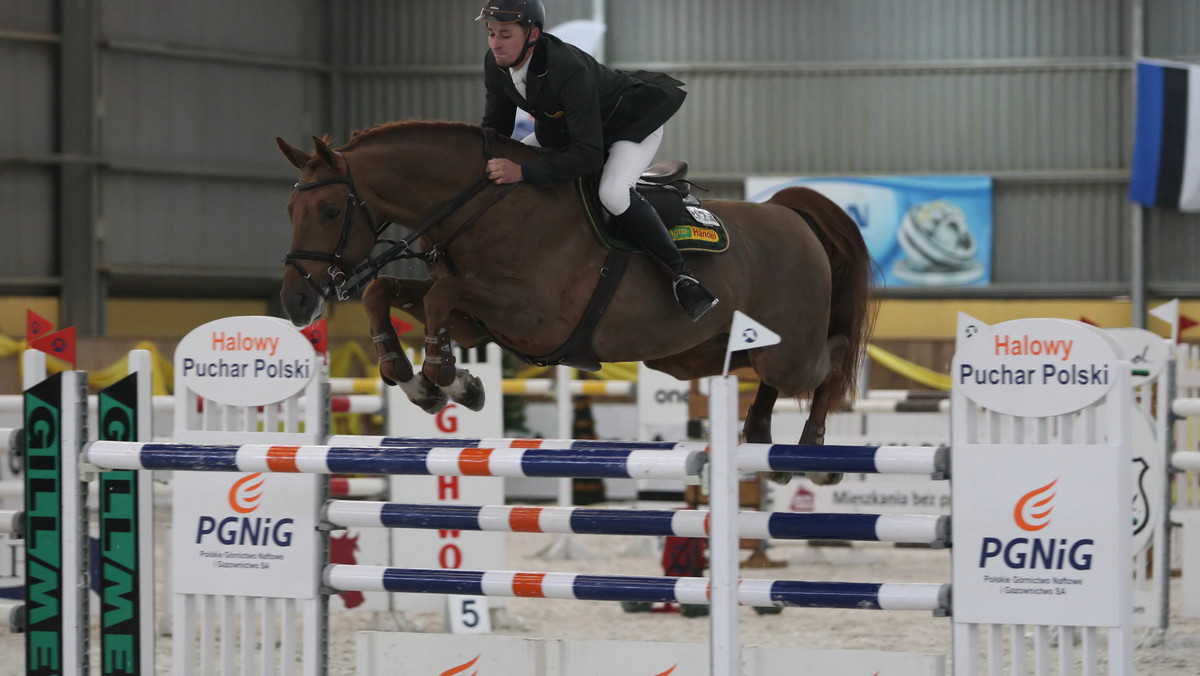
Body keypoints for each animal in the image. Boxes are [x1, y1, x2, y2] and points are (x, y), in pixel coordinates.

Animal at [277, 118, 878, 485]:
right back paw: (761, 438)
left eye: (330, 211)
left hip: (789, 349)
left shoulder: (533, 315)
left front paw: (449, 378)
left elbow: (441, 296)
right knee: (764, 374)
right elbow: (388, 292)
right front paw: (417, 379)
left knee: (832, 357)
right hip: (695, 355)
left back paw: (815, 452)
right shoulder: (480, 322)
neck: (482, 204)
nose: (296, 302)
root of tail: (790, 214)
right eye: (289, 211)